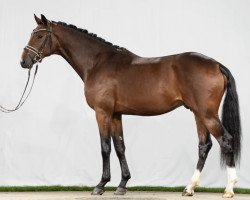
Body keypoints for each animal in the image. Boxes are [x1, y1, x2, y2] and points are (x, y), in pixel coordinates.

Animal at [20, 14, 241, 198]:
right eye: (33, 34)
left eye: (39, 36)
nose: (24, 61)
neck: (98, 63)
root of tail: (216, 64)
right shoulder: (116, 114)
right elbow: (120, 147)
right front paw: (122, 185)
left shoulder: (103, 113)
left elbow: (105, 147)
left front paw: (100, 185)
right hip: (198, 113)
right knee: (204, 145)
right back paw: (189, 188)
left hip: (207, 114)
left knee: (226, 141)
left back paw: (229, 189)